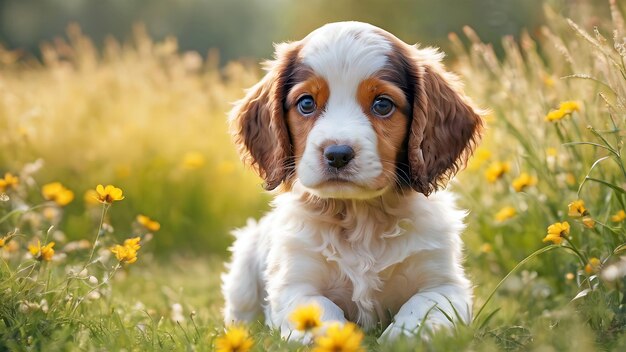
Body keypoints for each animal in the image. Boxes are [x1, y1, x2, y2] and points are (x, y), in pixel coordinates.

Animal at [222, 20, 480, 340]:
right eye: (306, 103)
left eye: (382, 105)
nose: (337, 155)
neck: (360, 216)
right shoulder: (296, 284)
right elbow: (323, 313)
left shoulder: (444, 284)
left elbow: (420, 310)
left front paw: (400, 337)